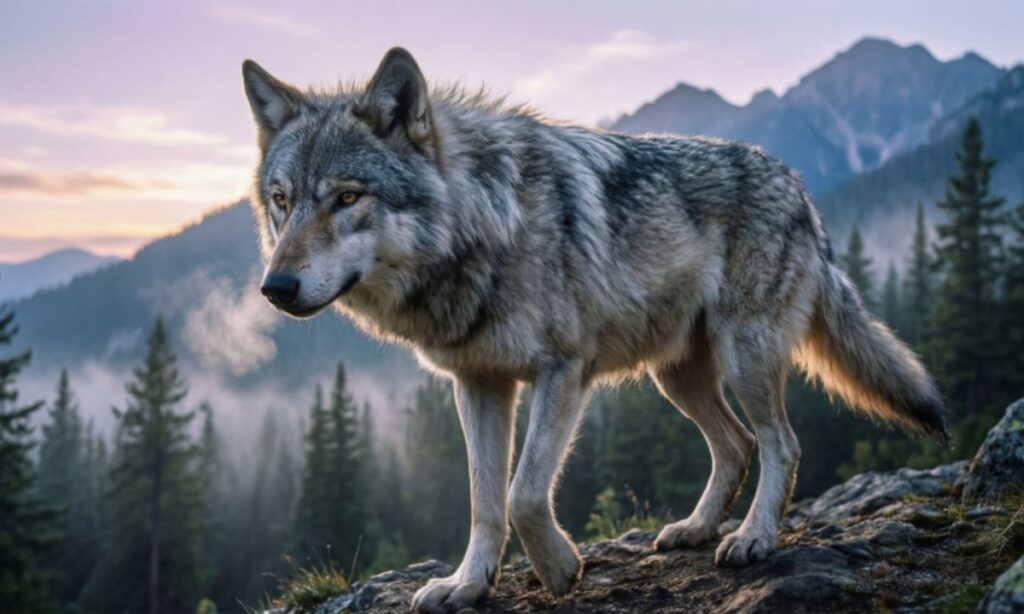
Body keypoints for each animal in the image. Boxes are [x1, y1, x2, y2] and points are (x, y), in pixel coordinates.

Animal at [242, 48, 946, 613]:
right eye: (282, 201)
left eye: (347, 198)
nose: (275, 289)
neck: (485, 224)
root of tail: (798, 187)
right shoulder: (478, 384)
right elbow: (483, 500)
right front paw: (468, 584)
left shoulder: (563, 372)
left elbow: (525, 494)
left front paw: (559, 568)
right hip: (676, 377)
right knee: (736, 444)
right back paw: (696, 529)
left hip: (743, 356)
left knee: (781, 444)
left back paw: (753, 538)